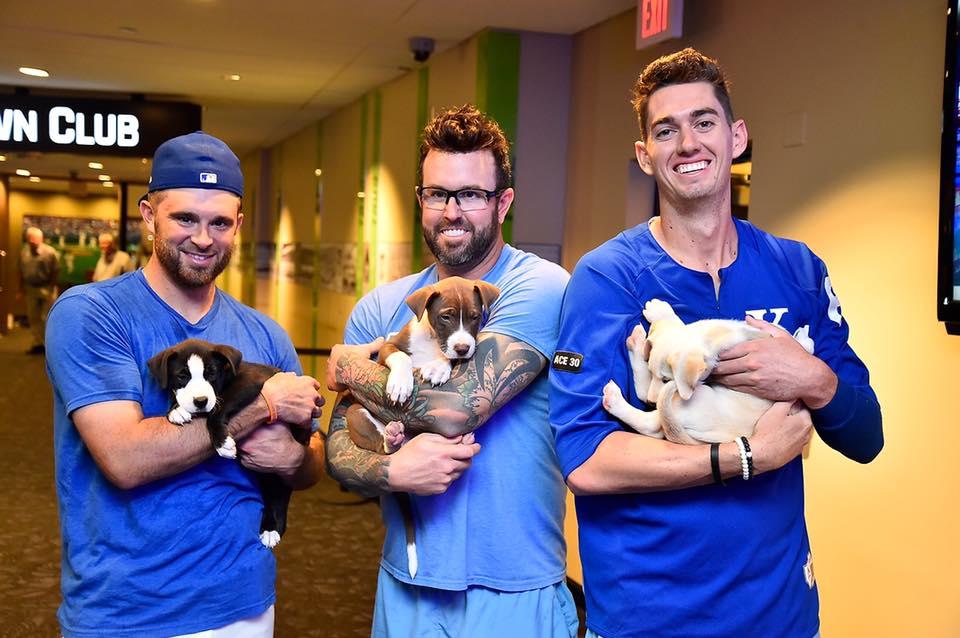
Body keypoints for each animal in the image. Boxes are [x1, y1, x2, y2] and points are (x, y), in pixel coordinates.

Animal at [344, 276, 498, 580]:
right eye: (445, 317)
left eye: (475, 317)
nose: (463, 348)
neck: (431, 341)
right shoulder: (389, 348)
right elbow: (401, 358)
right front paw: (400, 384)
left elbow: (447, 360)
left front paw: (438, 367)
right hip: (357, 414)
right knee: (382, 446)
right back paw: (392, 436)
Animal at [604, 300, 812, 444]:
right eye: (654, 372)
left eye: (666, 379)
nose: (650, 402)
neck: (718, 335)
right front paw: (661, 312)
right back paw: (637, 345)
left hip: (694, 401)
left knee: (651, 424)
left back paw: (615, 399)